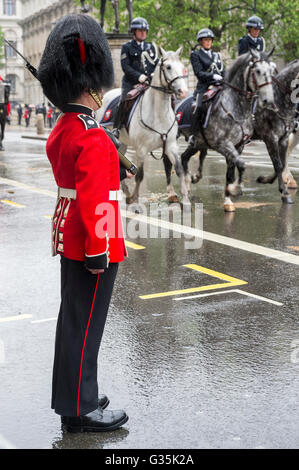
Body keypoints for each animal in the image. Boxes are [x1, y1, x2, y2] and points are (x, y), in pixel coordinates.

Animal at [98, 45, 190, 204]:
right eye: (168, 67)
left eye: (183, 67)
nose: (183, 91)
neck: (159, 114)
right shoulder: (141, 149)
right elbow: (139, 175)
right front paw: (135, 198)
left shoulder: (171, 146)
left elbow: (178, 169)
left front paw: (185, 199)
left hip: (122, 143)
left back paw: (125, 192)